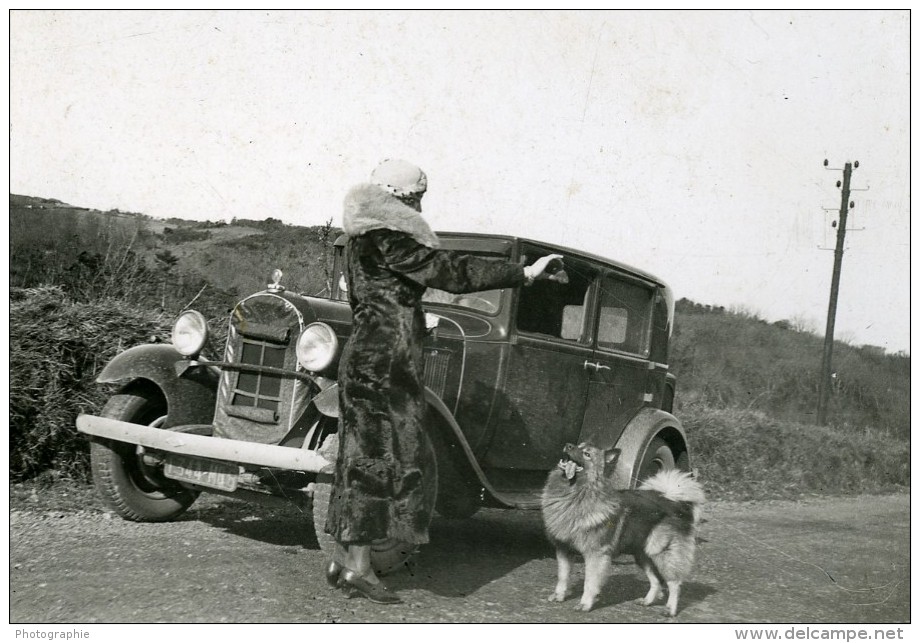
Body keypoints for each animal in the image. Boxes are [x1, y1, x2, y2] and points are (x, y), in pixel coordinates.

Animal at [540, 442, 704, 612]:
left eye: (587, 454)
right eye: (579, 445)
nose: (568, 445)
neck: (578, 493)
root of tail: (674, 501)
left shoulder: (595, 554)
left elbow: (590, 582)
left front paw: (585, 603)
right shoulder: (563, 549)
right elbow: (562, 576)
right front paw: (558, 595)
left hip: (661, 552)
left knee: (674, 582)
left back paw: (670, 609)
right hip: (642, 555)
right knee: (656, 580)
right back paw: (647, 601)